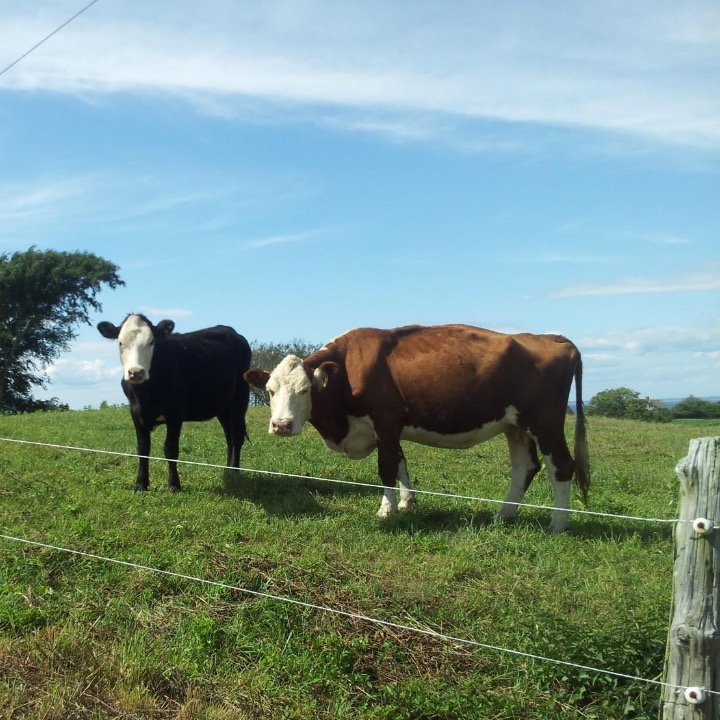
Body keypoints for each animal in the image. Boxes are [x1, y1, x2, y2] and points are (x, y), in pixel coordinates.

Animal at [98, 312, 250, 492]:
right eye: (121, 343)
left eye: (151, 342)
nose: (136, 372)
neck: (146, 396)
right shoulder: (135, 413)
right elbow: (143, 449)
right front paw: (141, 484)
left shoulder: (175, 413)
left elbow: (170, 448)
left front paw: (174, 485)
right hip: (223, 406)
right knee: (228, 435)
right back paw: (227, 470)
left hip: (240, 399)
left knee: (237, 435)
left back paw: (234, 471)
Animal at [245, 324, 588, 532]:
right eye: (271, 391)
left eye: (306, 390)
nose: (282, 425)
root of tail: (553, 338)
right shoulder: (390, 428)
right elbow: (400, 462)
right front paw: (406, 502)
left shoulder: (386, 420)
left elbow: (386, 467)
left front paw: (387, 511)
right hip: (515, 426)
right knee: (524, 468)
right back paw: (503, 515)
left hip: (545, 423)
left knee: (561, 467)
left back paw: (558, 523)